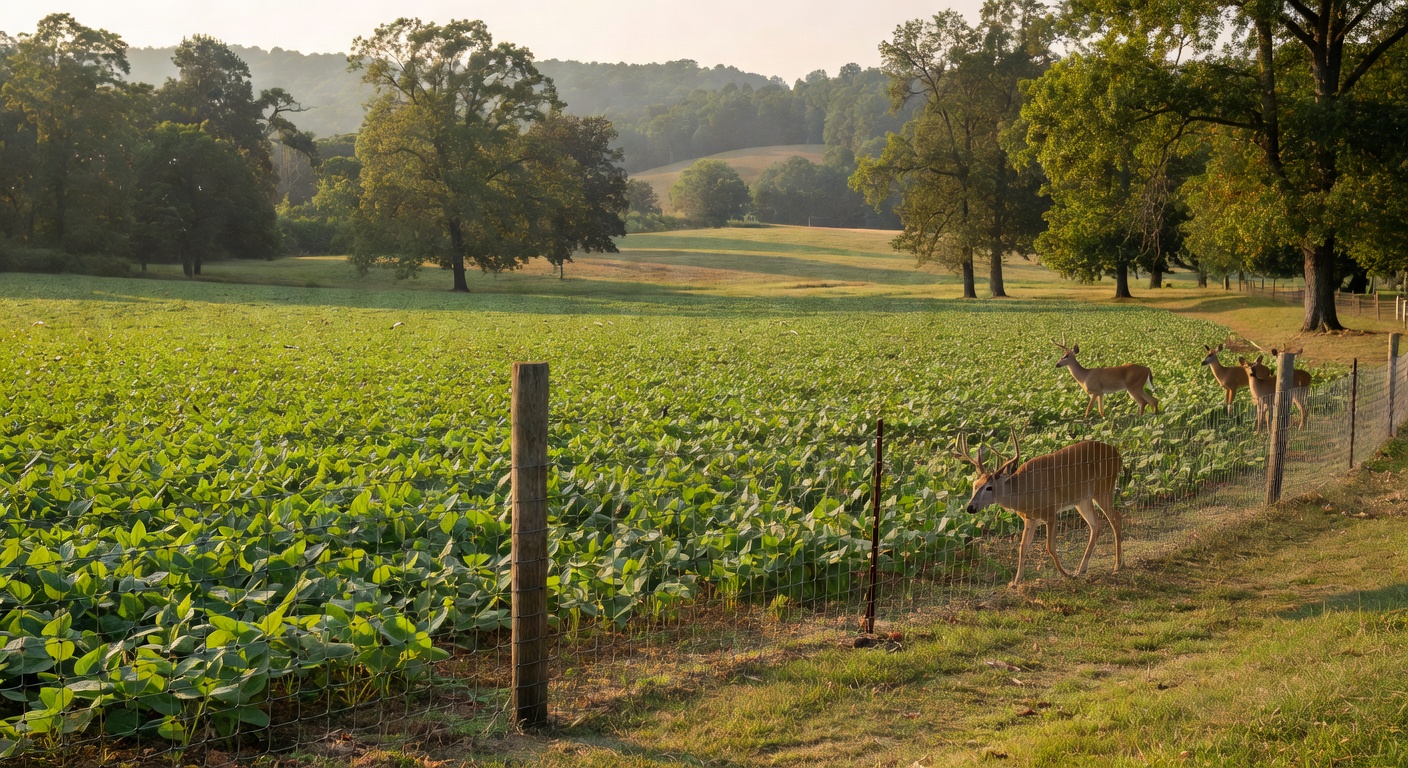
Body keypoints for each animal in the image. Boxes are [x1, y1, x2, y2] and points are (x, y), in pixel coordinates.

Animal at [953, 431, 1124, 587]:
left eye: (989, 487)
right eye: (974, 485)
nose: (970, 507)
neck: (1024, 494)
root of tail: (1117, 453)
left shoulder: (1051, 512)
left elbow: (1050, 547)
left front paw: (1066, 575)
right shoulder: (1030, 519)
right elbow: (1023, 547)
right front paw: (1015, 582)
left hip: (1104, 488)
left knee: (1116, 517)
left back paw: (1117, 566)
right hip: (1083, 500)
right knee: (1096, 524)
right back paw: (1082, 569)